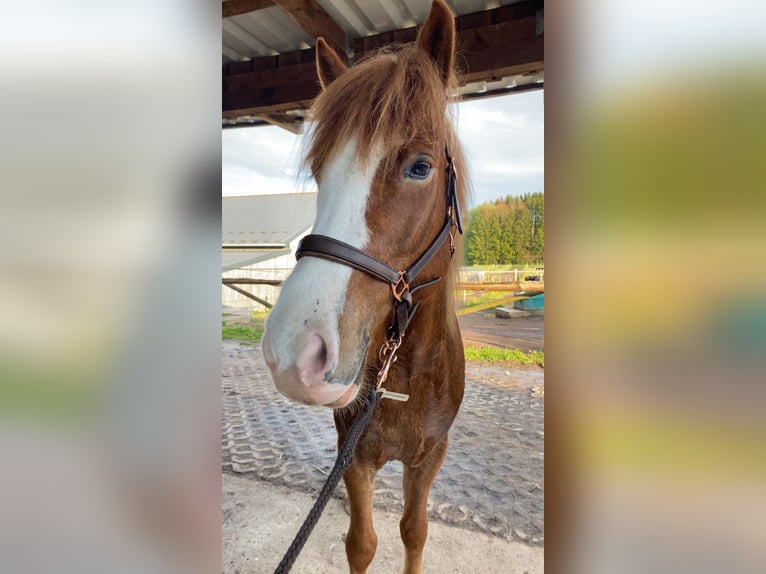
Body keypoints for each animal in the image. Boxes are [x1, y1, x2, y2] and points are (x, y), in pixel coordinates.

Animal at [262, 1, 467, 572]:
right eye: (318, 171)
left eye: (420, 166)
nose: (295, 352)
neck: (407, 378)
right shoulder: (355, 456)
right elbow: (363, 542)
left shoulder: (430, 457)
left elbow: (414, 532)